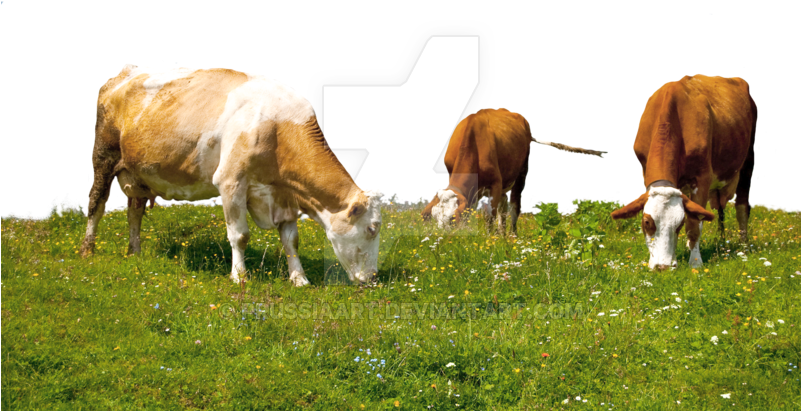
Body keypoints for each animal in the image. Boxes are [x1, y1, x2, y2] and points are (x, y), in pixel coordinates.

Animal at [79, 64, 384, 286]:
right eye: (371, 228)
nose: (373, 278)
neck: (279, 127)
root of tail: (126, 71)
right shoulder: (231, 181)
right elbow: (240, 235)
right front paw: (239, 276)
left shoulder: (284, 194)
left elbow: (290, 239)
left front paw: (299, 279)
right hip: (104, 157)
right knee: (96, 205)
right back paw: (87, 250)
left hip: (138, 172)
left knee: (135, 211)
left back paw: (135, 252)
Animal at [421, 107, 608, 235]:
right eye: (435, 218)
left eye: (452, 220)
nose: (444, 239)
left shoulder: (495, 184)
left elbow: (490, 215)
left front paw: (488, 241)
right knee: (504, 208)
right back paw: (502, 234)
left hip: (521, 171)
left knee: (513, 207)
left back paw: (512, 236)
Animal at [610, 74, 757, 271]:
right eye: (647, 222)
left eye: (679, 224)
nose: (662, 267)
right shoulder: (646, 171)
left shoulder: (702, 178)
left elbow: (694, 224)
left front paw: (695, 262)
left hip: (748, 159)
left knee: (742, 206)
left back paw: (743, 246)